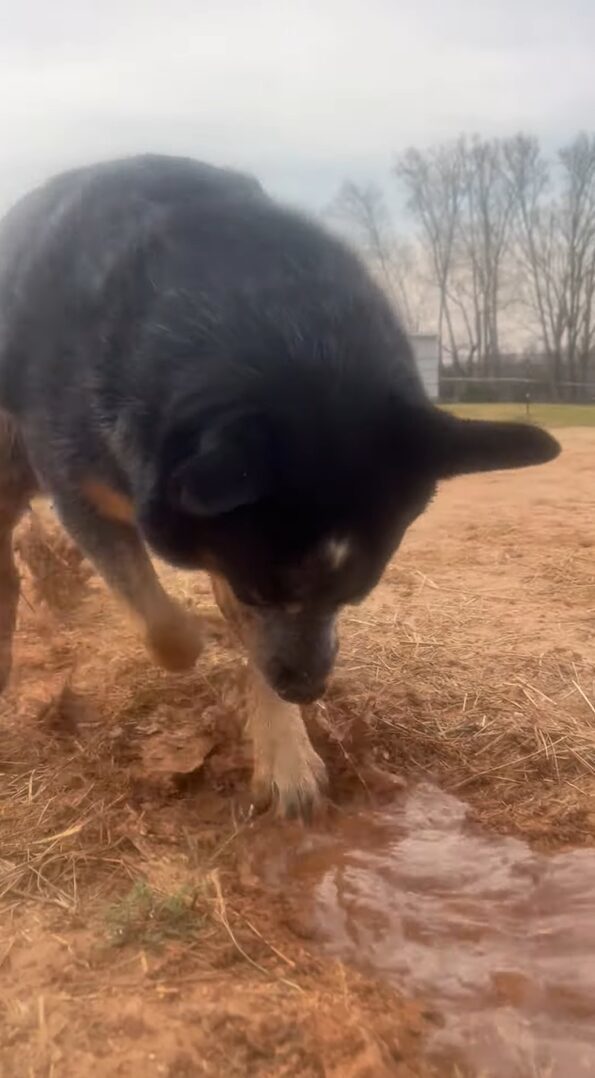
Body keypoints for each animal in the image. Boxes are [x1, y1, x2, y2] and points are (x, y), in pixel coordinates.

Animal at [0, 156, 560, 814]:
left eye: (354, 596)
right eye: (262, 593)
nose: (307, 690)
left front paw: (287, 758)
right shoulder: (79, 477)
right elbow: (166, 629)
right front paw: (203, 638)